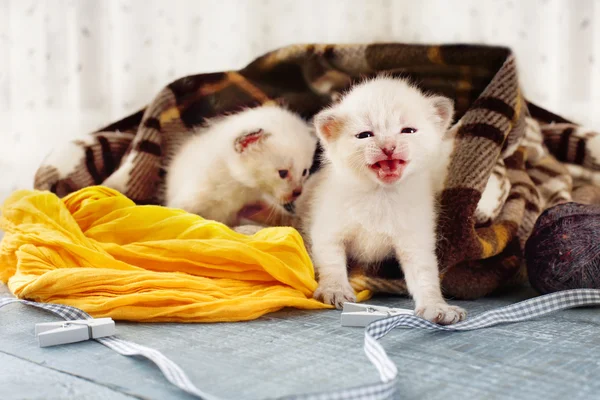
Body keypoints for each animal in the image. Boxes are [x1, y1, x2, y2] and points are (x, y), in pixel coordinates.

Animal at [298, 76, 466, 324]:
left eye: (408, 131)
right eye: (365, 135)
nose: (388, 147)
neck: (381, 194)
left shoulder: (416, 241)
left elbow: (426, 276)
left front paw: (437, 306)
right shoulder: (327, 231)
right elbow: (331, 262)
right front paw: (335, 289)